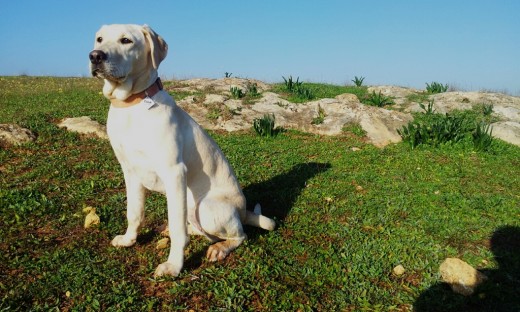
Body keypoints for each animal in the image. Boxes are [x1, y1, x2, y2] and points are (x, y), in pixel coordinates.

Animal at [89, 25, 276, 278]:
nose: (95, 56)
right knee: (198, 230)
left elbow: (179, 231)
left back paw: (220, 248)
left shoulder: (174, 172)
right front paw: (129, 240)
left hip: (203, 206)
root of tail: (243, 211)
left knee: (239, 235)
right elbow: (134, 212)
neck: (132, 106)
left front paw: (174, 266)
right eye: (99, 39)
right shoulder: (130, 171)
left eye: (126, 40)